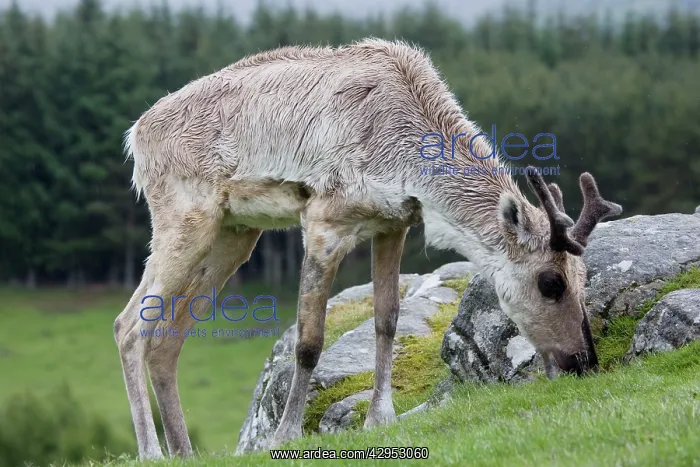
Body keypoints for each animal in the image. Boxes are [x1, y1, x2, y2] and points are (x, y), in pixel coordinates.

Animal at [115, 37, 623, 460]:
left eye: (584, 278)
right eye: (550, 282)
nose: (583, 361)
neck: (407, 152)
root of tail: (135, 134)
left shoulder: (392, 224)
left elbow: (387, 321)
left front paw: (381, 417)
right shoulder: (323, 222)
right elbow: (309, 341)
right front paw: (285, 435)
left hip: (235, 232)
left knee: (167, 336)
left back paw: (184, 451)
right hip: (185, 218)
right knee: (128, 325)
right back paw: (151, 452)